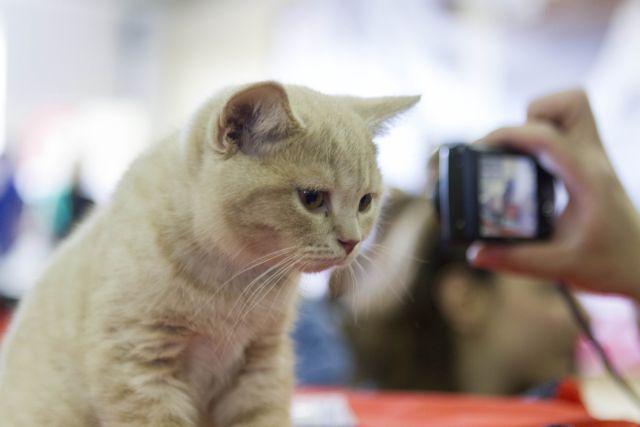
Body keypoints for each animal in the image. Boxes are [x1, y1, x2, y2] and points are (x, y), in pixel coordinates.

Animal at [0, 81, 418, 427]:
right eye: (312, 198)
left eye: (365, 201)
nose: (352, 242)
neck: (232, 282)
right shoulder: (139, 364)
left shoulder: (262, 367)